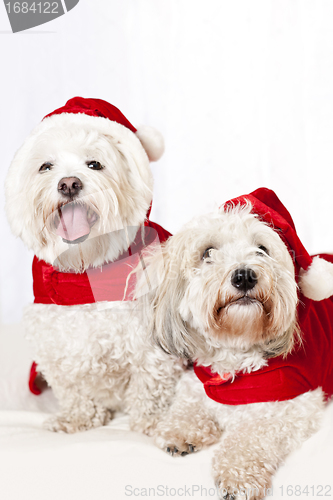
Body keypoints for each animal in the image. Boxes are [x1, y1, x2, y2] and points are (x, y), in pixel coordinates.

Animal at [3, 97, 183, 434]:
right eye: (46, 166)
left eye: (95, 164)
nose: (69, 184)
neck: (83, 275)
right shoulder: (55, 346)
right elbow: (72, 389)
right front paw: (78, 417)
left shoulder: (151, 349)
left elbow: (149, 387)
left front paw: (149, 421)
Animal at [139, 189, 332, 498]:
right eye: (207, 252)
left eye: (262, 249)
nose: (244, 276)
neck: (236, 351)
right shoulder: (198, 381)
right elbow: (187, 405)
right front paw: (181, 430)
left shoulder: (293, 406)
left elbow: (252, 436)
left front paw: (239, 475)